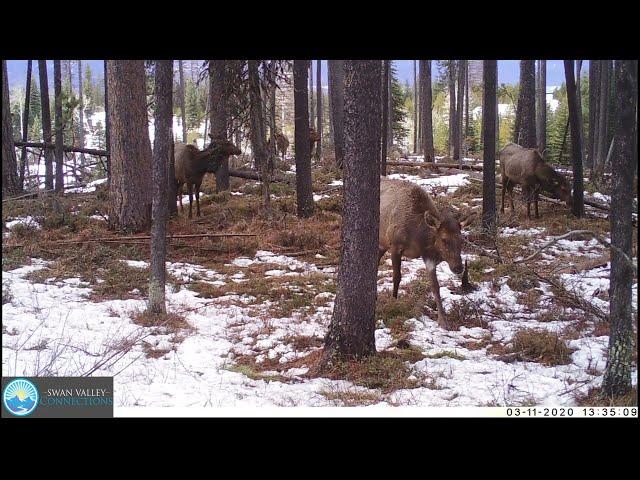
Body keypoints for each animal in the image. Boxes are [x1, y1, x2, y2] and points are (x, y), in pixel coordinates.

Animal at [376, 178, 476, 324]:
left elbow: (435, 286)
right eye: (444, 240)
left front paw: (442, 320)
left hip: (381, 244)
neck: (418, 239)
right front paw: (393, 302)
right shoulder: (395, 245)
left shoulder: (429, 256)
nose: (458, 267)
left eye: (462, 240)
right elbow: (397, 277)